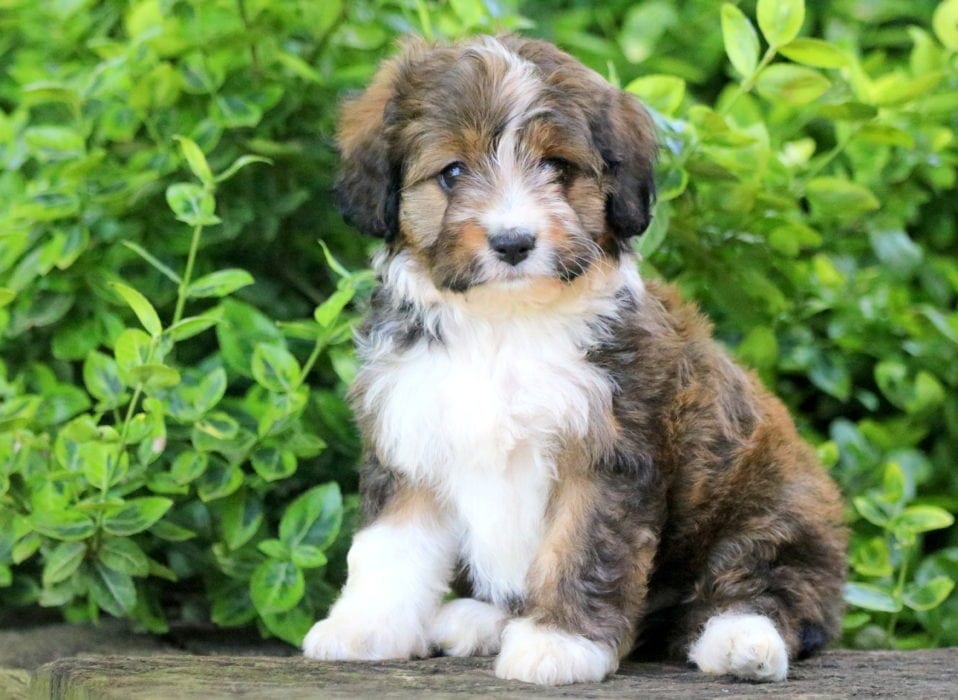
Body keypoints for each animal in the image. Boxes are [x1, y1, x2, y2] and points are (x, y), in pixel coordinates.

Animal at [302, 35, 848, 688]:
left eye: (558, 169)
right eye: (453, 172)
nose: (513, 242)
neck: (504, 325)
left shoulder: (607, 452)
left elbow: (581, 546)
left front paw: (559, 644)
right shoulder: (411, 432)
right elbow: (390, 545)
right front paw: (365, 627)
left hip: (772, 505)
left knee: (772, 585)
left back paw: (742, 641)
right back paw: (483, 620)